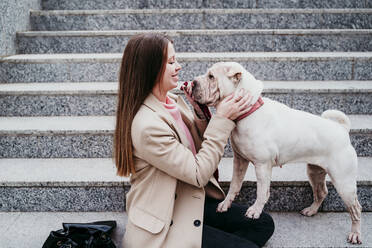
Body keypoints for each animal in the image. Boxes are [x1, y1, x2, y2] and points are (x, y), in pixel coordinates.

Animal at [190, 62, 362, 244]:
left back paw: (355, 233)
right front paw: (225, 204)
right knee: (321, 192)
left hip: (344, 183)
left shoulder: (262, 165)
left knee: (356, 208)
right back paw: (311, 210)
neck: (248, 110)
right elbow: (234, 185)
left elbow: (262, 191)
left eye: (211, 77)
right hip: (314, 171)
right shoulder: (240, 161)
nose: (193, 82)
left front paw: (255, 211)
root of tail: (342, 130)